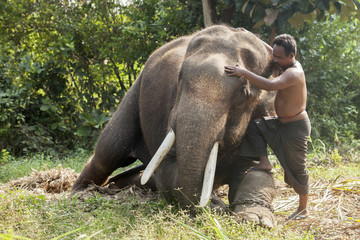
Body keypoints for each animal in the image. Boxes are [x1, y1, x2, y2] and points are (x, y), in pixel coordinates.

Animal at [71, 25, 278, 228]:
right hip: (133, 95)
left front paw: (256, 219)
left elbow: (256, 169)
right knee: (108, 151)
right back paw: (80, 192)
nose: (211, 204)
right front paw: (215, 206)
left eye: (244, 92)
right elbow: (166, 169)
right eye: (180, 77)